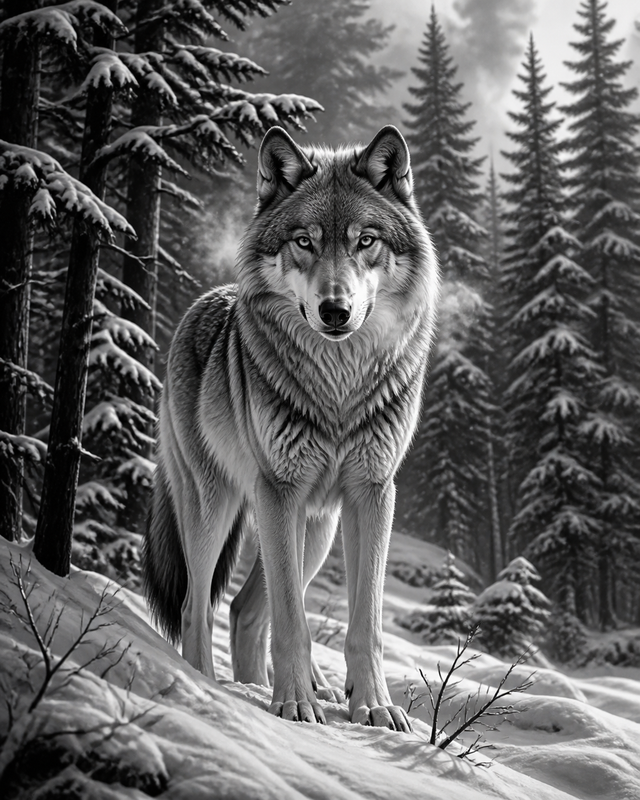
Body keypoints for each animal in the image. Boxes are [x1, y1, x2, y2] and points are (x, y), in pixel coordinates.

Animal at [143, 124, 439, 732]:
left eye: (365, 241)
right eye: (304, 241)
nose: (334, 310)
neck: (339, 388)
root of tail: (202, 302)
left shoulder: (373, 493)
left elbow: (365, 624)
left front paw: (373, 706)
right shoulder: (278, 490)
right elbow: (293, 621)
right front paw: (295, 705)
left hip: (317, 530)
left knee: (242, 608)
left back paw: (272, 686)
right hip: (217, 507)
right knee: (195, 605)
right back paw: (209, 686)